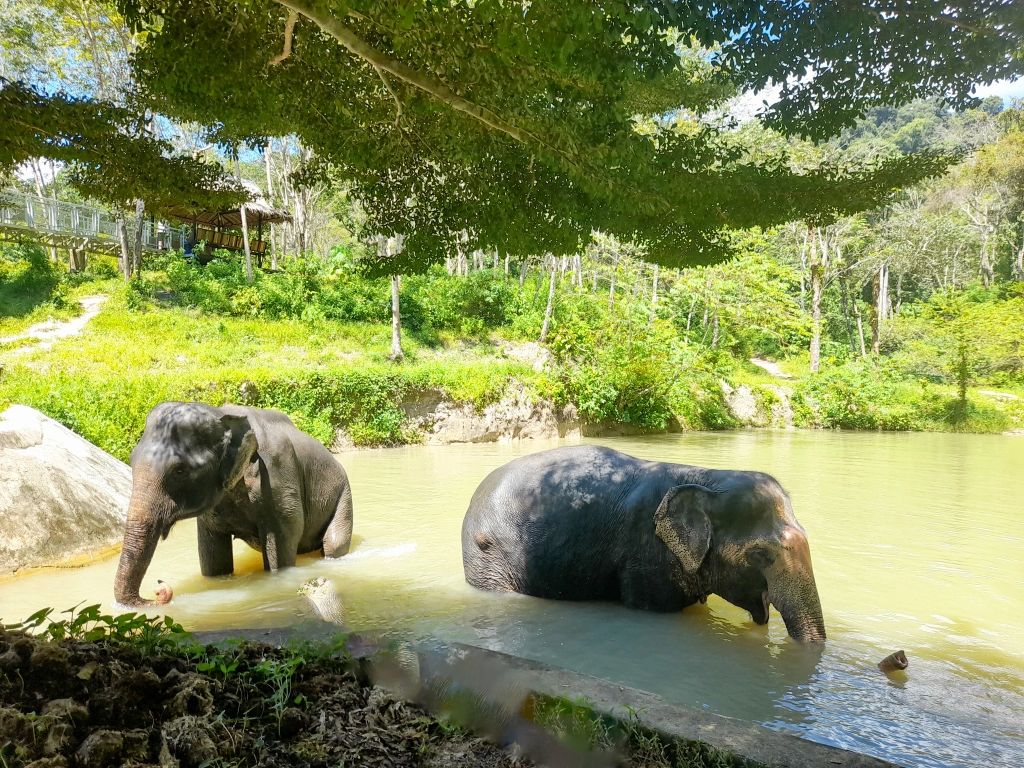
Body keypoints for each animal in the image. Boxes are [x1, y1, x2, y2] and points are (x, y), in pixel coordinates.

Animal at [114, 403, 354, 606]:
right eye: (131, 458)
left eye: (180, 470)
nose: (158, 588)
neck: (220, 414)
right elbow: (213, 557)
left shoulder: (278, 477)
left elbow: (285, 539)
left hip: (344, 495)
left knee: (334, 545)